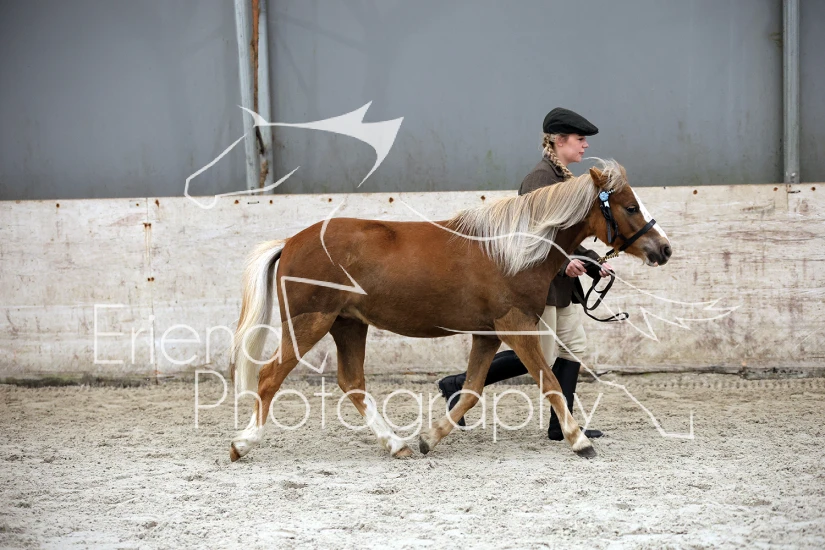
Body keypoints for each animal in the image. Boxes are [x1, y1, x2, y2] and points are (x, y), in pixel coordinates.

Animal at [228, 159, 671, 461]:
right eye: (630, 207)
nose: (664, 249)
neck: (512, 250)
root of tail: (290, 242)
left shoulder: (488, 333)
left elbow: (472, 390)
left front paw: (430, 437)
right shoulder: (516, 326)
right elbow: (548, 381)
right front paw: (578, 441)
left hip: (348, 325)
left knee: (352, 382)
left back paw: (397, 444)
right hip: (310, 324)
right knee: (269, 378)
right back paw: (242, 444)